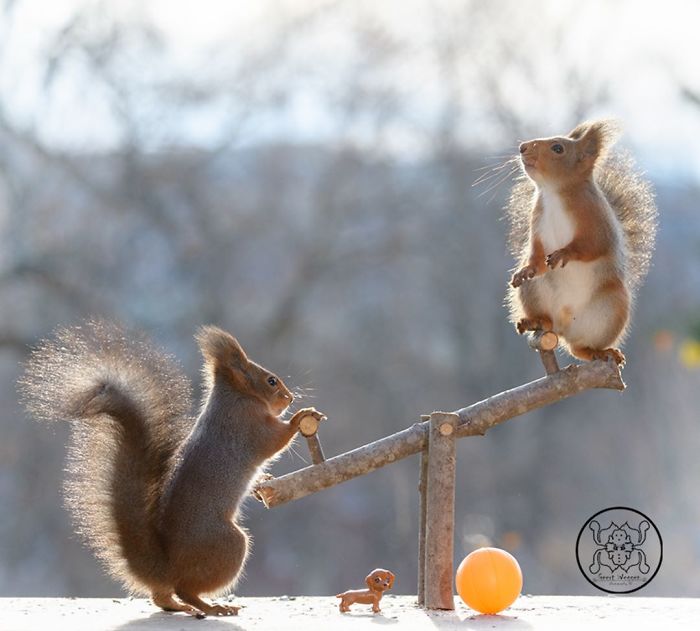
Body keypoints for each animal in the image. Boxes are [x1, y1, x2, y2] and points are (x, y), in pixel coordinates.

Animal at [19, 320, 325, 617]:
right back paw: (212, 607)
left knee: (162, 596)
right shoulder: (249, 426)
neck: (237, 396)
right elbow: (275, 441)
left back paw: (178, 606)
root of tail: (167, 565)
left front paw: (265, 481)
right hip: (228, 544)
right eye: (271, 381)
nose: (290, 398)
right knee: (185, 588)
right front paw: (301, 417)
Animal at [506, 119, 657, 365]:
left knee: (579, 348)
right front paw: (526, 269)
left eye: (558, 148)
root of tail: (564, 327)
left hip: (611, 309)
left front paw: (564, 253)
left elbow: (592, 246)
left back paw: (600, 351)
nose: (523, 148)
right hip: (533, 292)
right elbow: (537, 256)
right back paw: (536, 320)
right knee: (549, 323)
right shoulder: (537, 223)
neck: (554, 193)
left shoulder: (597, 222)